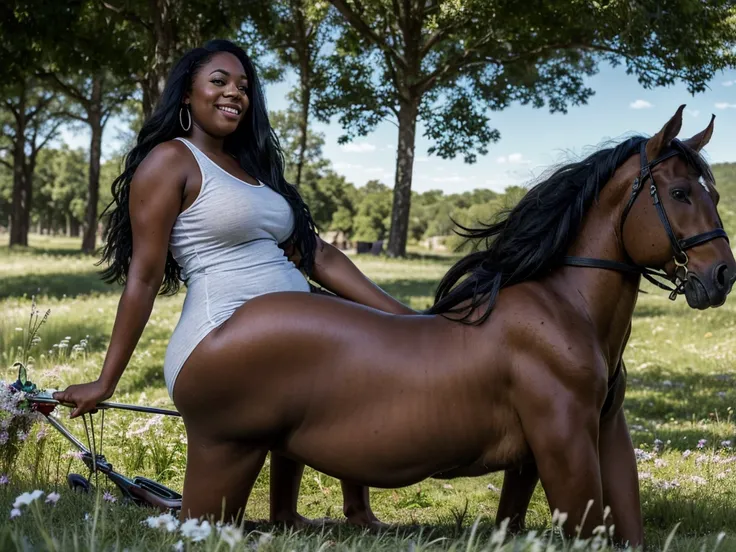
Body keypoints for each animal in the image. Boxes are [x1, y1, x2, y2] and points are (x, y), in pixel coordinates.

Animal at [171, 106, 732, 548]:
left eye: (715, 193)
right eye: (680, 192)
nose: (722, 275)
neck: (565, 309)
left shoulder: (594, 434)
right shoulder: (566, 440)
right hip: (225, 457)